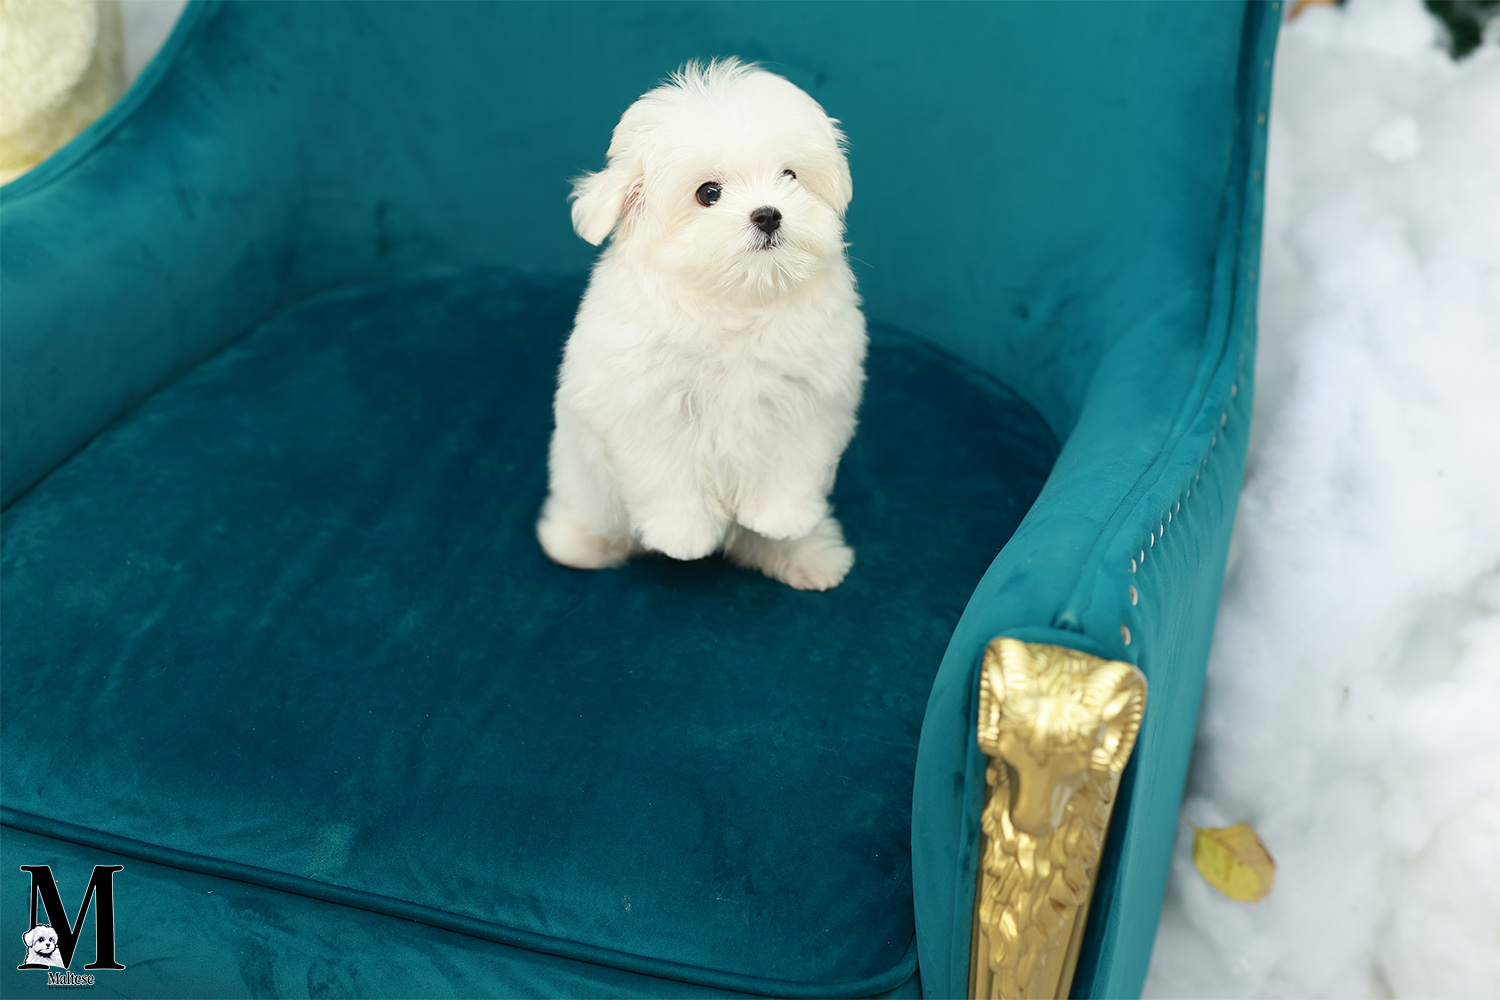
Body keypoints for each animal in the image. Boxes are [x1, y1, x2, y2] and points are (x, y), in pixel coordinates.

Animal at [537, 59, 867, 591]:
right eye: (709, 193)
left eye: (790, 175)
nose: (768, 214)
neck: (735, 300)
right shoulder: (650, 405)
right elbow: (668, 474)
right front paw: (684, 536)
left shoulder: (808, 395)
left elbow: (793, 460)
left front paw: (782, 517)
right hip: (585, 485)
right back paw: (577, 544)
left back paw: (807, 554)